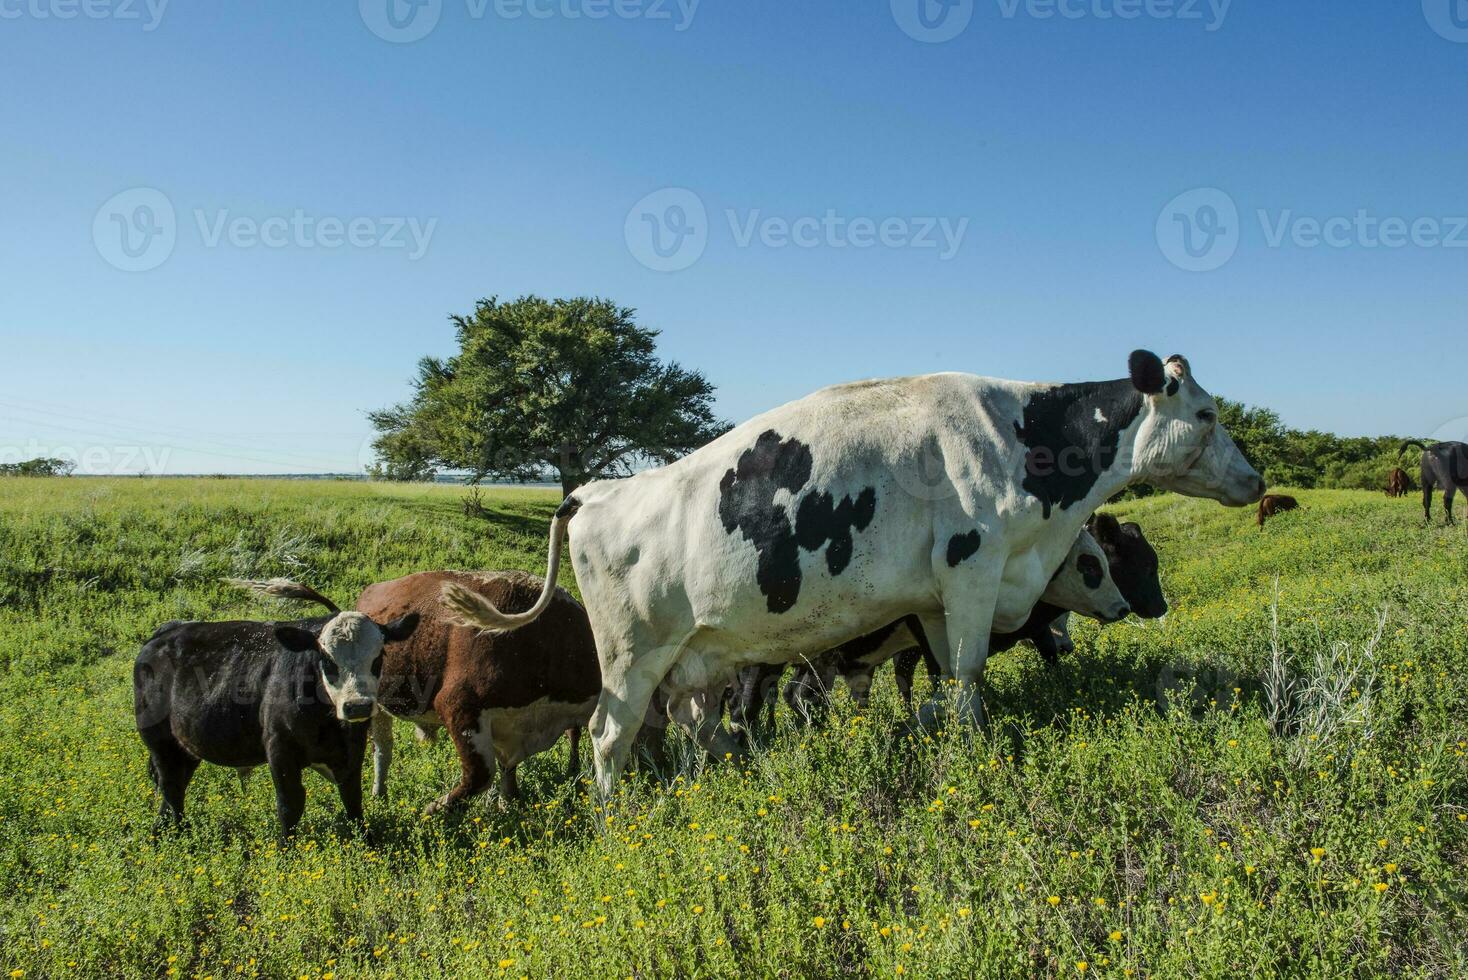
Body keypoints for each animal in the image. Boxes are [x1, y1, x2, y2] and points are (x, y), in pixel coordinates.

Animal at [133, 580, 419, 833]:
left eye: (379, 656)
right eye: (326, 658)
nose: (357, 706)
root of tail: (166, 632)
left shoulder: (352, 749)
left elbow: (353, 800)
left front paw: (366, 840)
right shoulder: (280, 749)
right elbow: (290, 805)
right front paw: (286, 850)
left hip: (187, 746)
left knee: (175, 787)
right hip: (160, 742)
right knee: (171, 788)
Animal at [443, 350, 1262, 798]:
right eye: (1209, 414)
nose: (1255, 479)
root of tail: (597, 491)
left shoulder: (934, 601)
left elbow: (943, 684)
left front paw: (943, 742)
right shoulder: (974, 570)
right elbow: (968, 679)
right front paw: (978, 760)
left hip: (686, 659)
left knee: (685, 727)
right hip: (628, 653)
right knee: (611, 737)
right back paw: (621, 823)